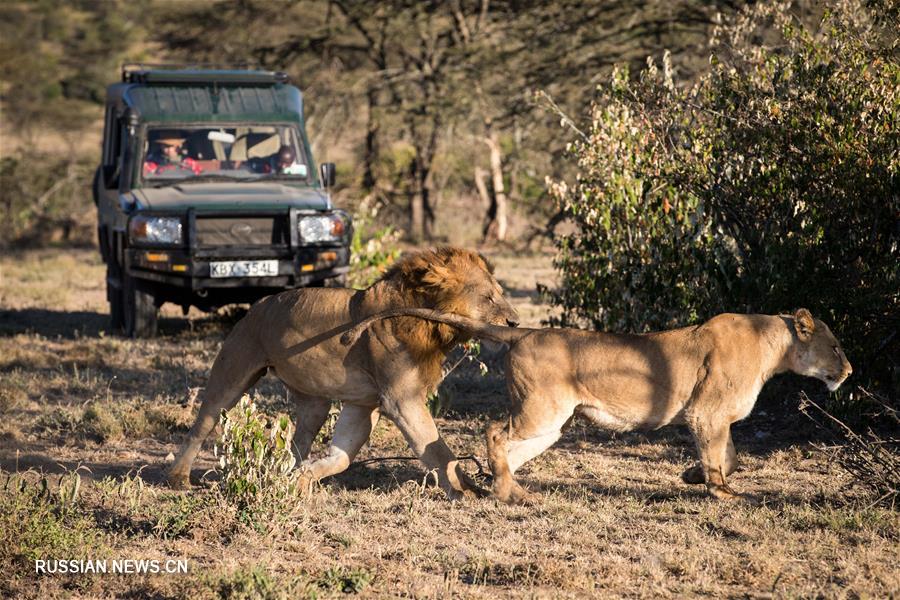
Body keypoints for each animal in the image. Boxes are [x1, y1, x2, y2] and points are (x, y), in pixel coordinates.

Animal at [168, 246, 516, 500]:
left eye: (501, 292)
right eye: (488, 297)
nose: (515, 322)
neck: (430, 324)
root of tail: (258, 304)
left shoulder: (364, 404)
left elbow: (342, 456)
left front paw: (302, 479)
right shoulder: (400, 400)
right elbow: (438, 450)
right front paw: (466, 492)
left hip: (315, 403)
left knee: (299, 441)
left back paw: (285, 474)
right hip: (233, 374)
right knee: (202, 424)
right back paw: (178, 479)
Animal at [342, 310, 852, 502]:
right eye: (835, 346)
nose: (848, 371)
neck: (774, 346)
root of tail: (525, 332)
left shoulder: (712, 417)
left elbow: (730, 455)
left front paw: (693, 476)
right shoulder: (705, 412)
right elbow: (721, 456)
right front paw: (720, 492)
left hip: (553, 423)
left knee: (509, 449)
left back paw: (506, 487)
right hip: (542, 410)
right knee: (494, 432)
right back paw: (507, 492)